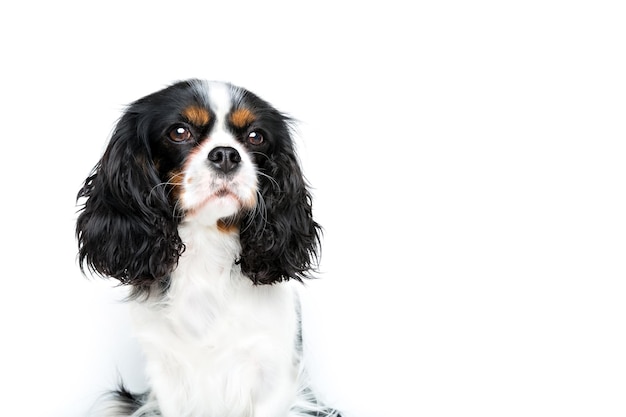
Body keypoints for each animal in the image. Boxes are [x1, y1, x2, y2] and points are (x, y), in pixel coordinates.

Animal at [77, 79, 342, 416]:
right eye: (179, 132)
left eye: (256, 137)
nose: (227, 154)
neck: (207, 245)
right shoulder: (167, 376)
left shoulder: (273, 377)